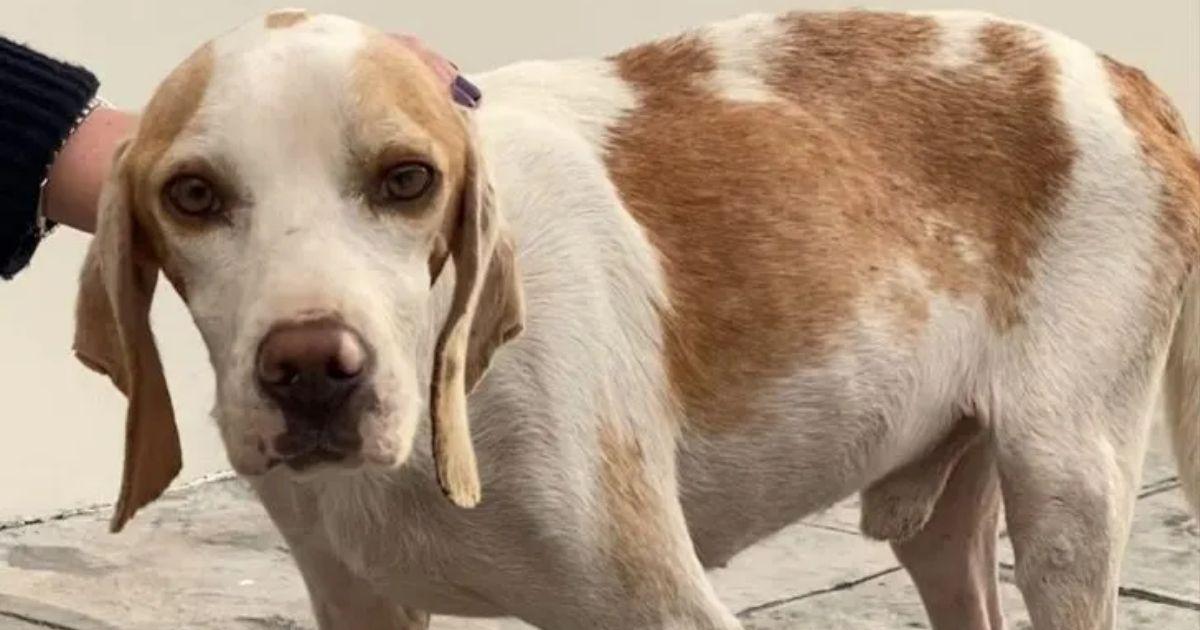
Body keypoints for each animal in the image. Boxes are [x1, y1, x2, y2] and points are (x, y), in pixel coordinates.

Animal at [75, 6, 1200, 628]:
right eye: (192, 195)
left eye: (407, 179)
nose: (314, 370)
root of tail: (1123, 73)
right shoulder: (361, 608)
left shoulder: (660, 607)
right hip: (944, 526)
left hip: (1067, 495)